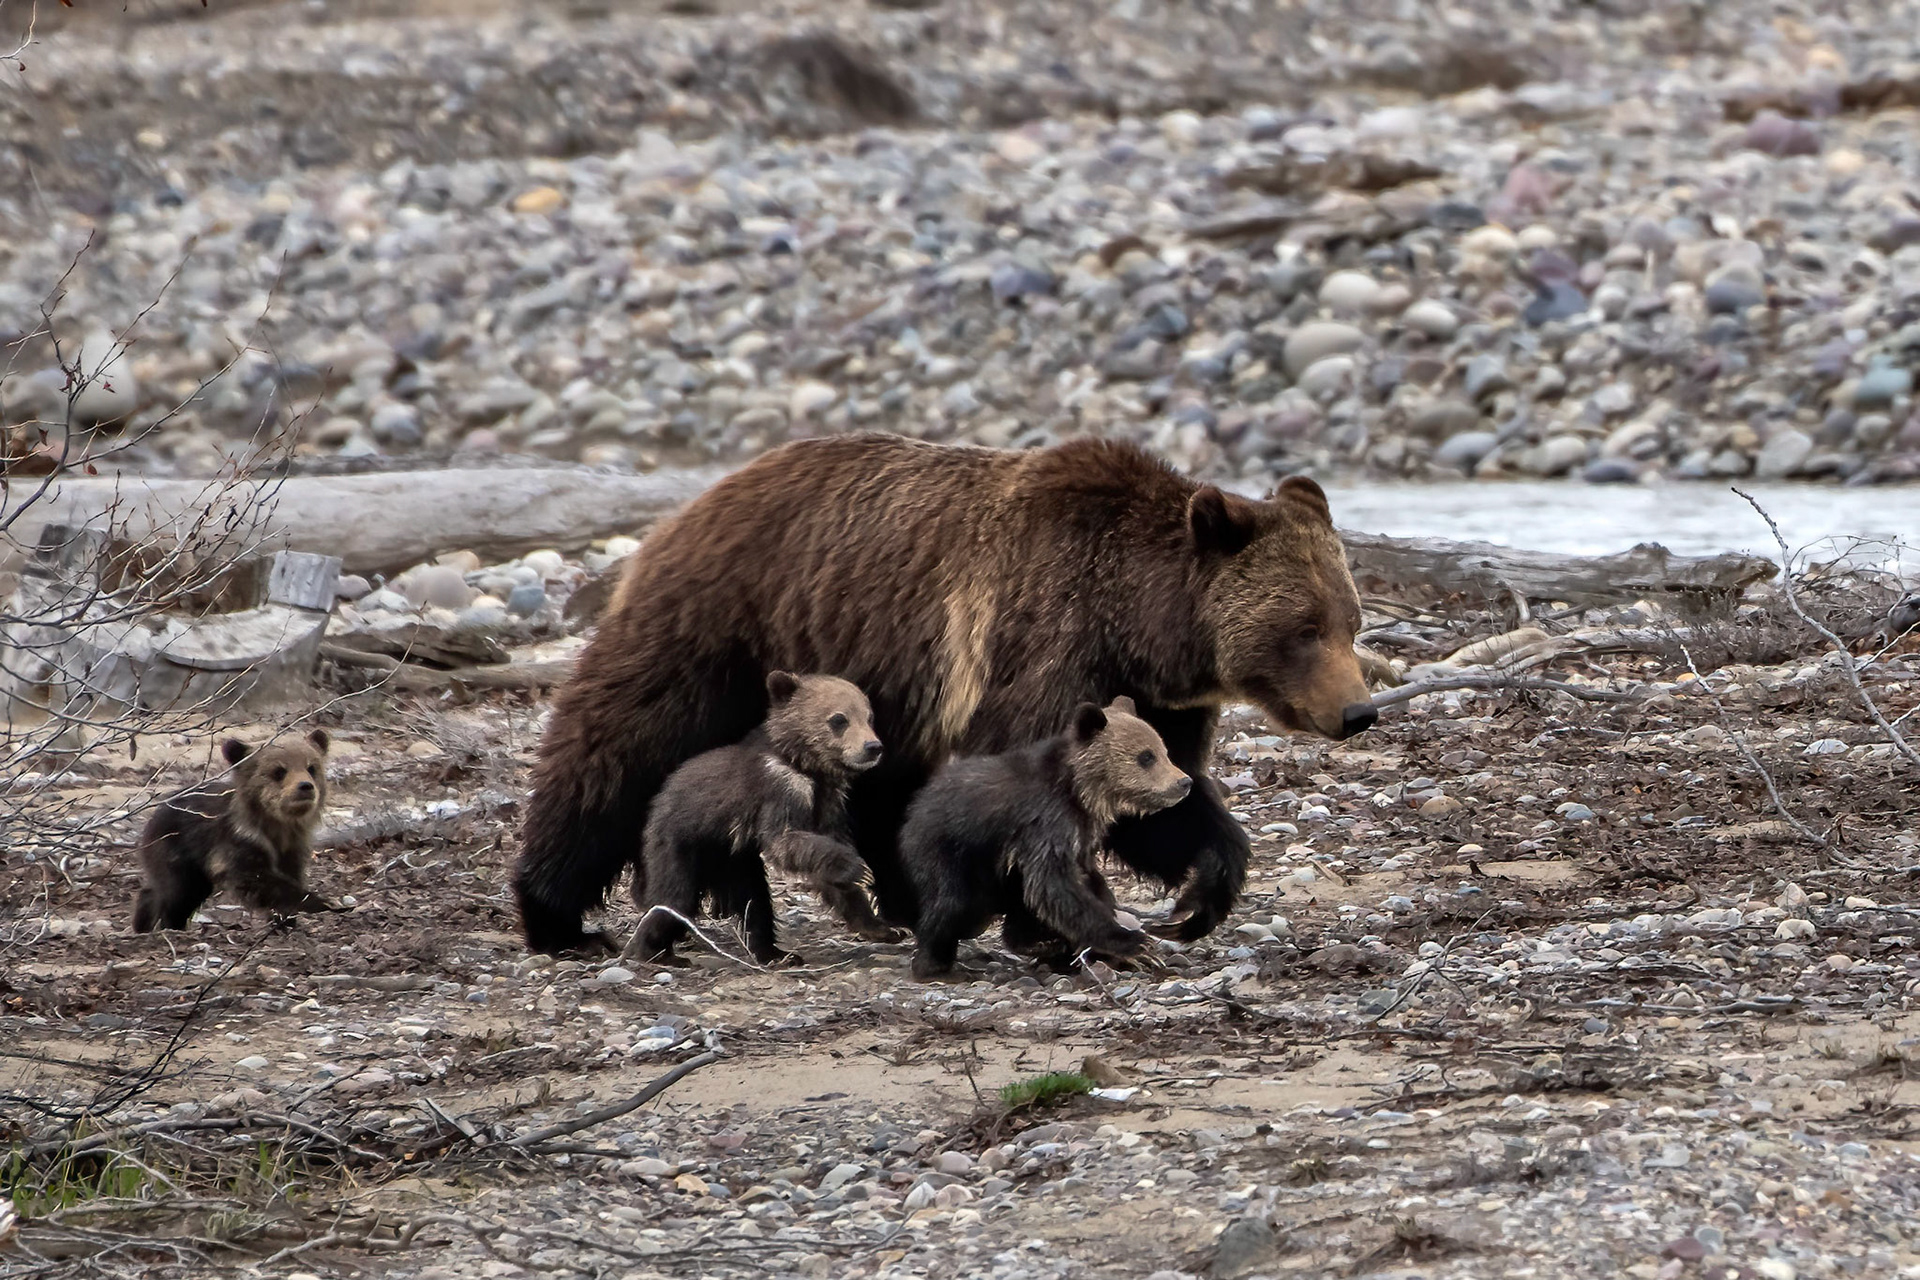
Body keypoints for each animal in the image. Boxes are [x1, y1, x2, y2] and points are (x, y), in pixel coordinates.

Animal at [131, 730, 343, 933]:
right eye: (279, 771)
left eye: (311, 767)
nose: (305, 786)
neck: (278, 826)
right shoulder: (238, 840)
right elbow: (255, 878)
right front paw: (325, 902)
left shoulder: (293, 848)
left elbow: (290, 876)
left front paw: (286, 920)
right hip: (176, 849)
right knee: (177, 891)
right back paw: (167, 925)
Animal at [629, 671, 897, 966]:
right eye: (839, 719)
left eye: (869, 716)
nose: (873, 747)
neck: (804, 764)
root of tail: (657, 800)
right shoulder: (779, 788)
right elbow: (784, 839)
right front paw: (859, 869)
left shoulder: (827, 803)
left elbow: (824, 860)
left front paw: (883, 927)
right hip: (681, 841)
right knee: (675, 898)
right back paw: (654, 951)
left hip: (734, 859)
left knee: (754, 901)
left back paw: (775, 952)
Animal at [900, 696, 1192, 981]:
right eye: (1146, 756)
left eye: (1164, 751)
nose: (1184, 782)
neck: (1080, 791)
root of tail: (916, 806)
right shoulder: (1045, 821)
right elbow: (1055, 885)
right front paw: (1135, 944)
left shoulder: (1081, 834)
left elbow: (1084, 879)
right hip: (950, 851)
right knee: (951, 904)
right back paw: (936, 965)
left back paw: (1040, 945)